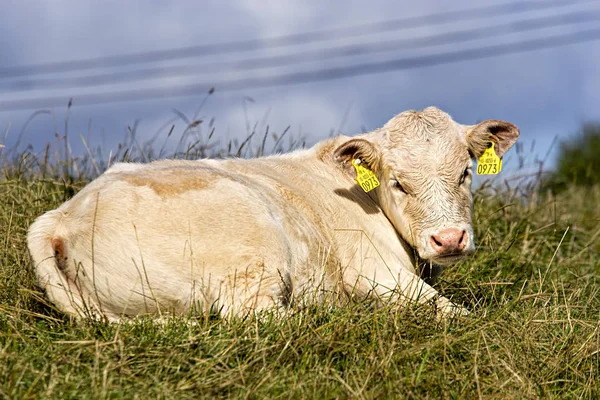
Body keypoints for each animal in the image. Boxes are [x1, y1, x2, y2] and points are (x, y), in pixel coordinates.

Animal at [25, 107, 516, 322]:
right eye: (397, 182)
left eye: (465, 172)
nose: (449, 239)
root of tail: (63, 215)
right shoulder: (375, 272)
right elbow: (459, 315)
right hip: (249, 259)